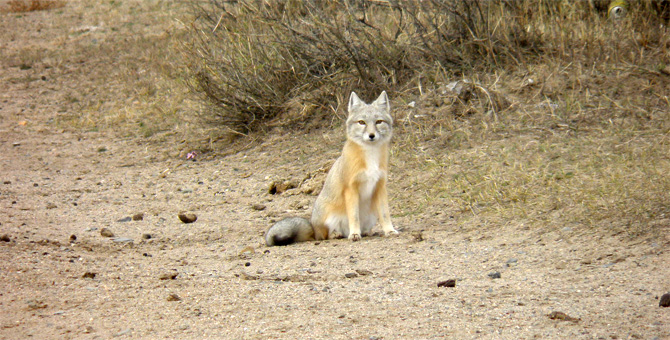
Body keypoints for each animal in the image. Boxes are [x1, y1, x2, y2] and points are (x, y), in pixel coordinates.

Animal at [266, 90, 396, 244]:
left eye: (378, 122)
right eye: (361, 122)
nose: (371, 135)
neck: (371, 157)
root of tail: (314, 230)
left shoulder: (380, 186)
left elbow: (385, 214)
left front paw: (389, 230)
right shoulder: (351, 189)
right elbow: (354, 216)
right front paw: (354, 234)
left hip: (371, 216)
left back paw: (366, 232)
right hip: (329, 217)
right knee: (327, 235)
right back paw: (338, 234)